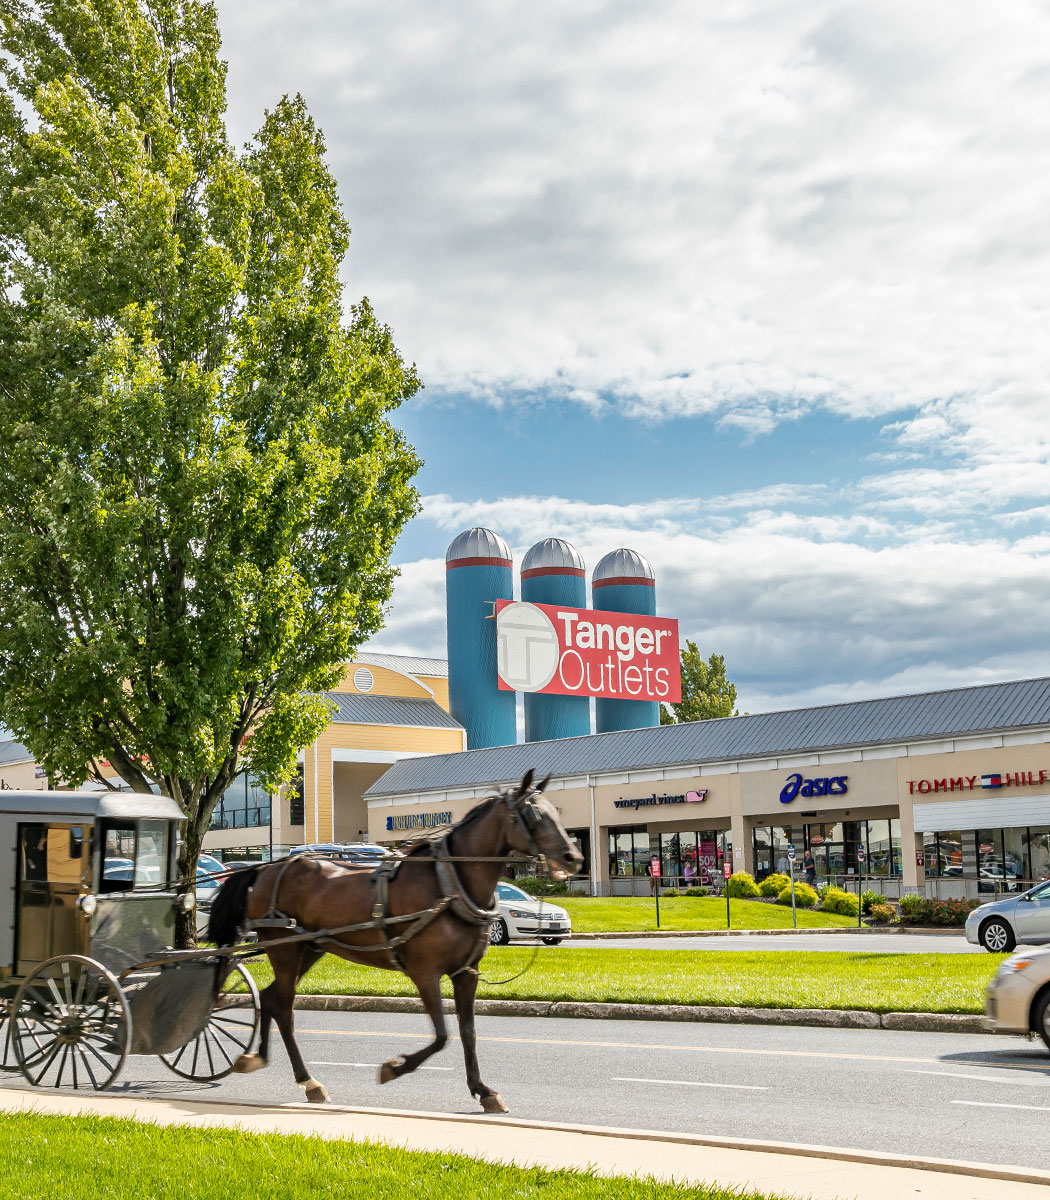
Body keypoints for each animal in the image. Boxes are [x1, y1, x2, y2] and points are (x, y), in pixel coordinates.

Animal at [205, 772, 583, 1108]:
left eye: (555, 812)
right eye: (533, 813)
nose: (574, 858)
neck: (450, 882)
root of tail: (264, 868)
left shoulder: (467, 973)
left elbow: (468, 1032)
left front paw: (483, 1090)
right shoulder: (425, 972)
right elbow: (442, 1035)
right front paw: (394, 1068)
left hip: (308, 949)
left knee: (270, 999)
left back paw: (258, 1058)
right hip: (283, 947)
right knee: (283, 1007)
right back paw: (308, 1080)